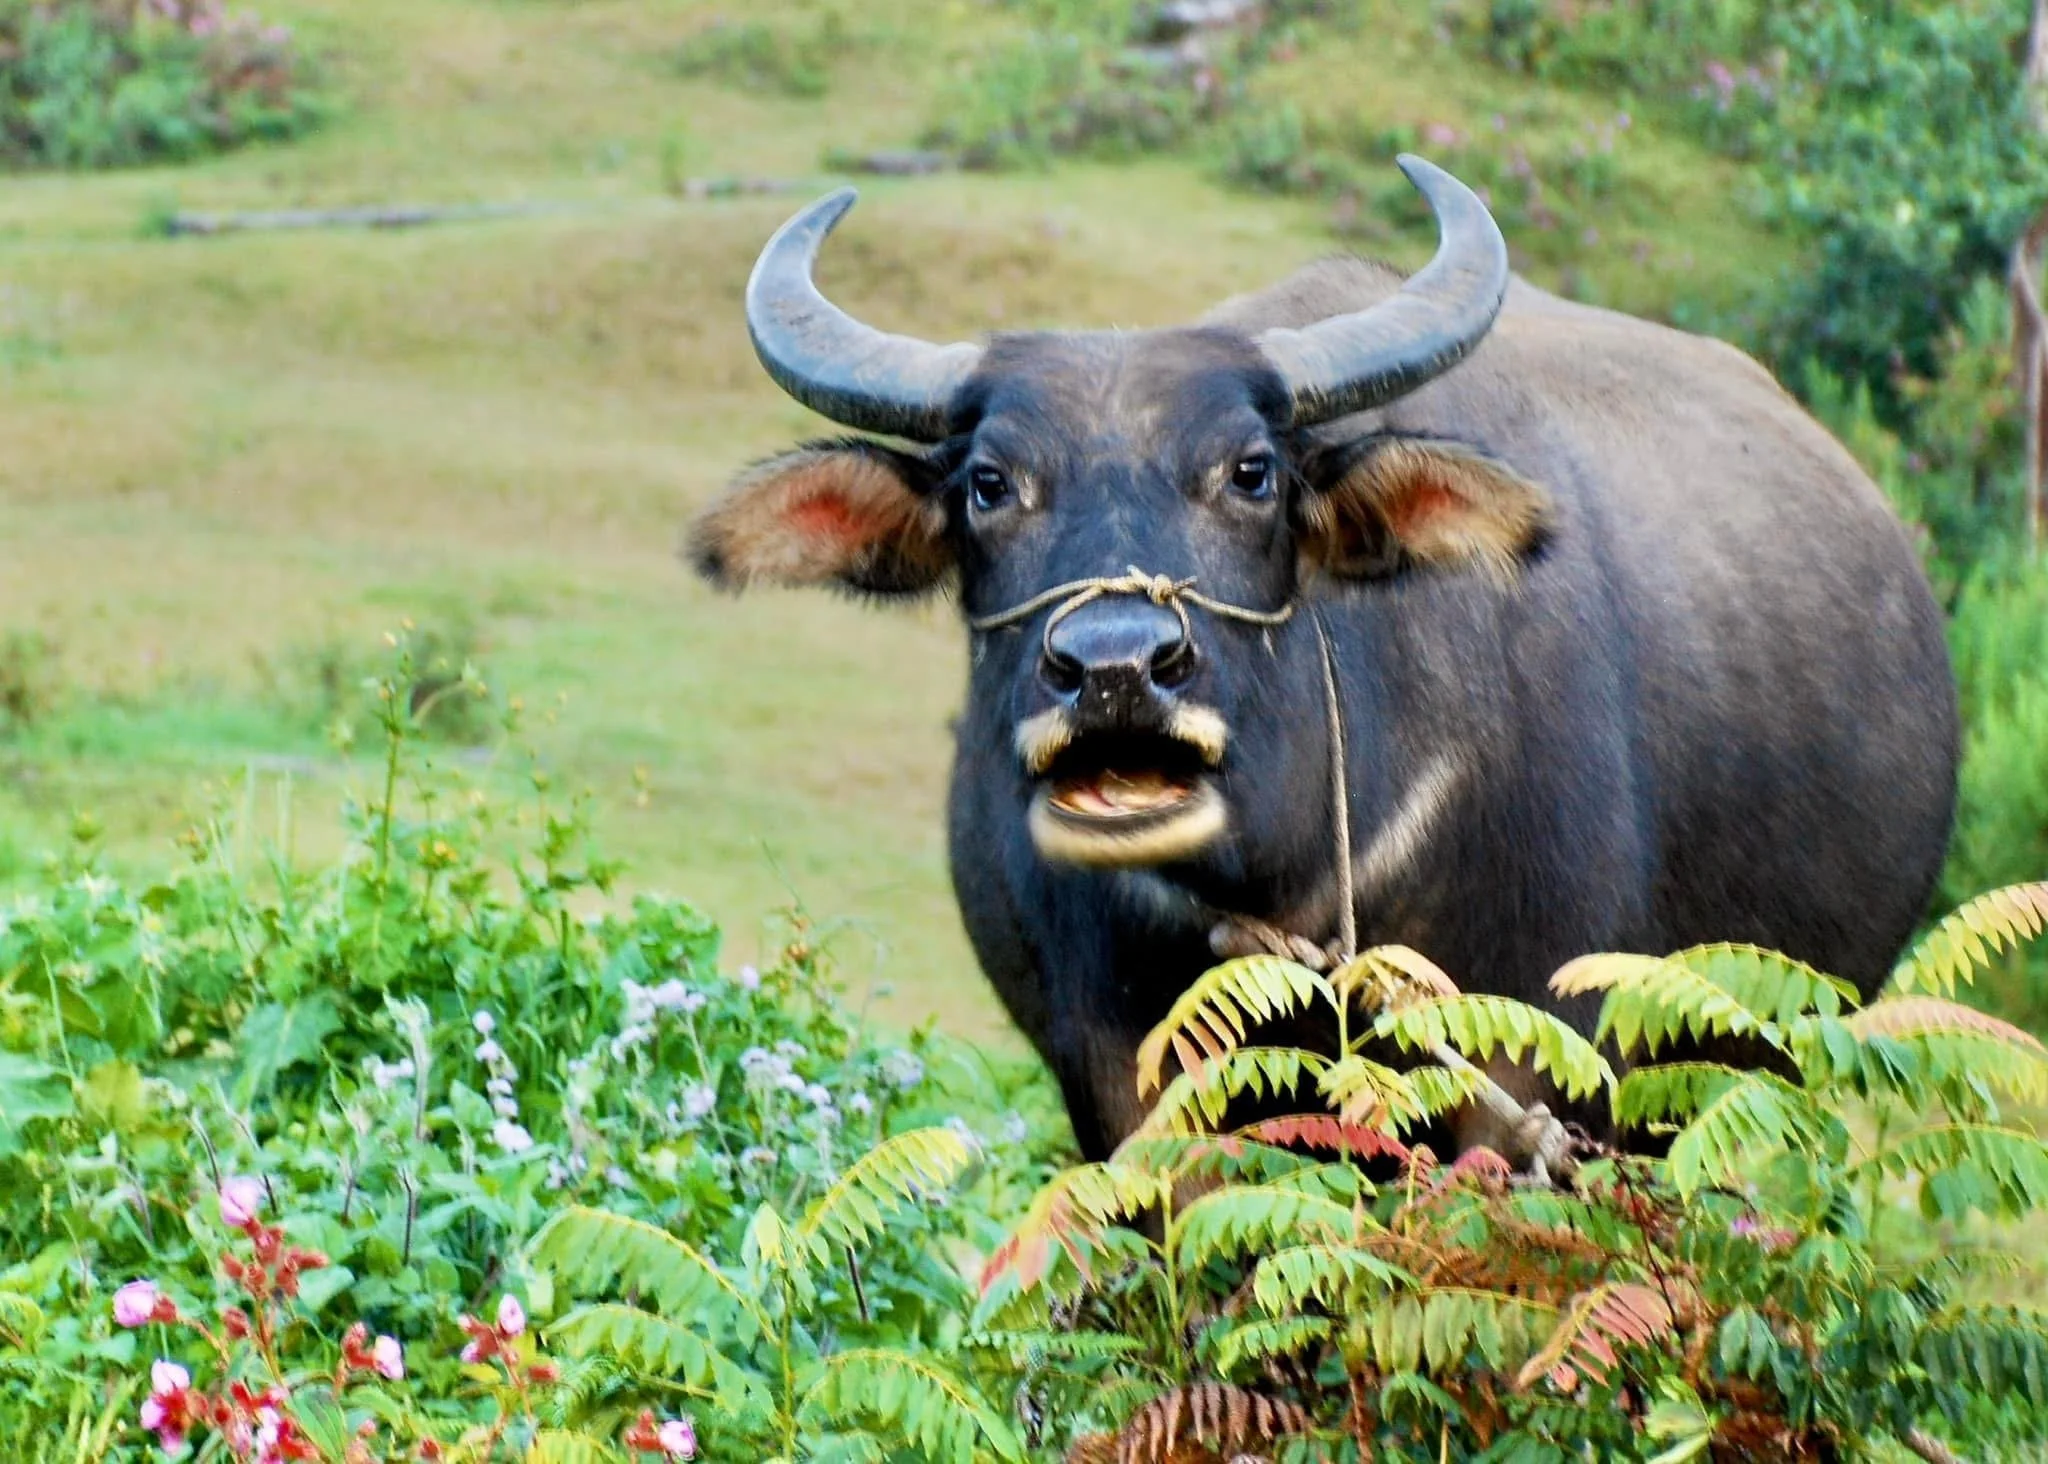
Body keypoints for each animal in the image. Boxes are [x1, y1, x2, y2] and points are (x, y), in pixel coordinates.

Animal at [688, 157, 1959, 1162]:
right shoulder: (1116, 1078)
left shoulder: (1538, 1048)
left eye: (1250, 472)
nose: (1114, 668)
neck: (1285, 878)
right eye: (989, 485)